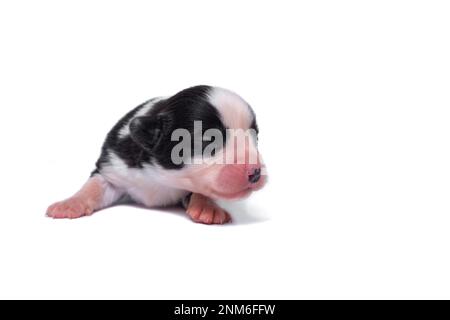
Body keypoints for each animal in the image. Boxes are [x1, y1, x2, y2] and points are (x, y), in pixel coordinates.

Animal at [47, 86, 266, 224]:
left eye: (255, 138)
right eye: (209, 139)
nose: (255, 172)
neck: (163, 177)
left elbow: (201, 191)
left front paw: (208, 207)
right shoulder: (112, 165)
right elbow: (94, 186)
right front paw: (69, 204)